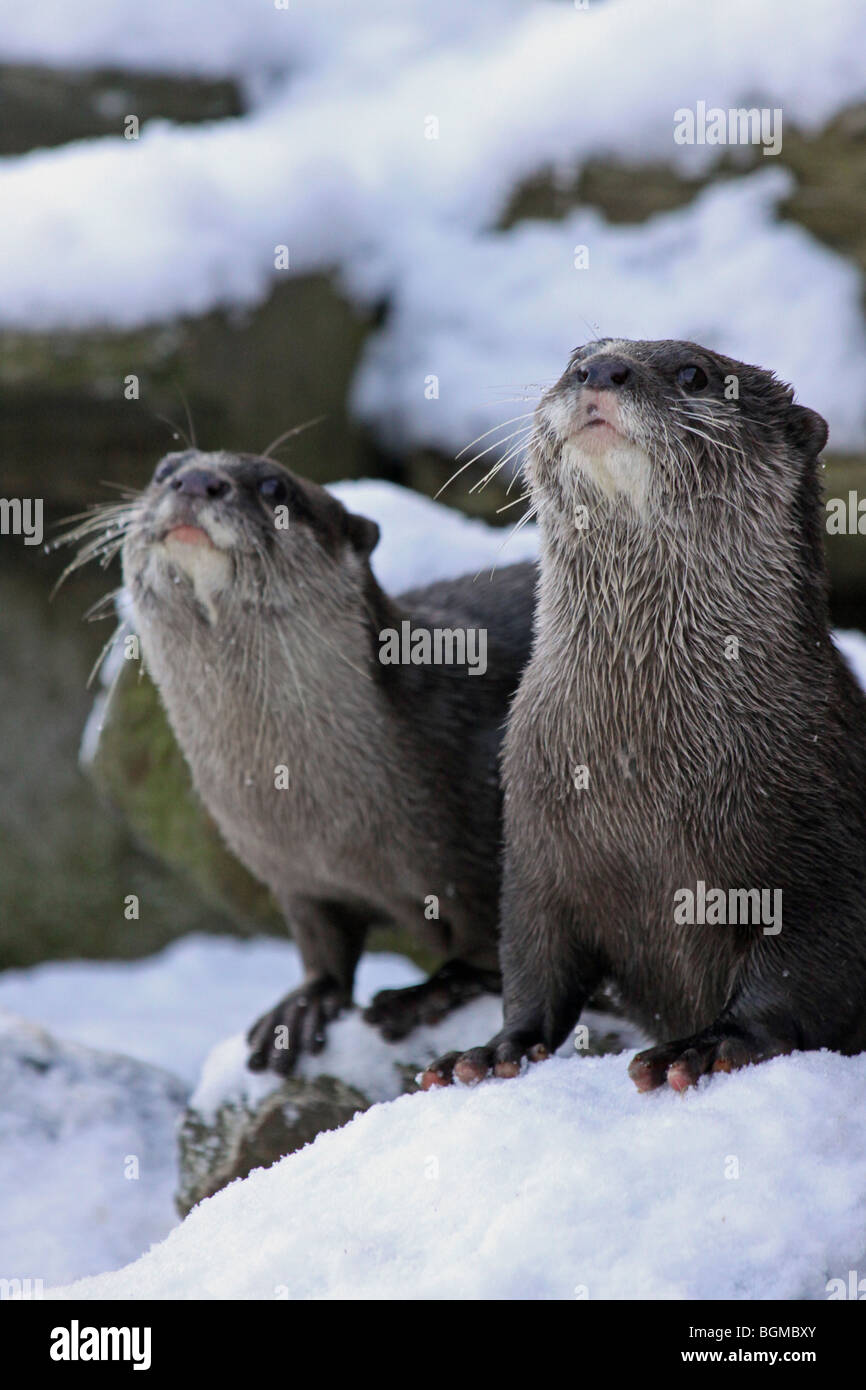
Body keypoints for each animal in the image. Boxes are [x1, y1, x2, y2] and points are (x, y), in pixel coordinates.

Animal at [74, 450, 536, 1067]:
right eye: (164, 470)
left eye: (276, 487)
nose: (196, 480)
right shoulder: (297, 878)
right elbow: (321, 944)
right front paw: (305, 1004)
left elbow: (500, 943)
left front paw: (429, 992)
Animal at [422, 339, 866, 1095]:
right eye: (575, 355)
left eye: (695, 374)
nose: (599, 371)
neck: (641, 768)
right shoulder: (536, 836)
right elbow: (534, 960)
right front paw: (494, 1049)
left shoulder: (824, 845)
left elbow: (801, 968)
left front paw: (705, 1045)